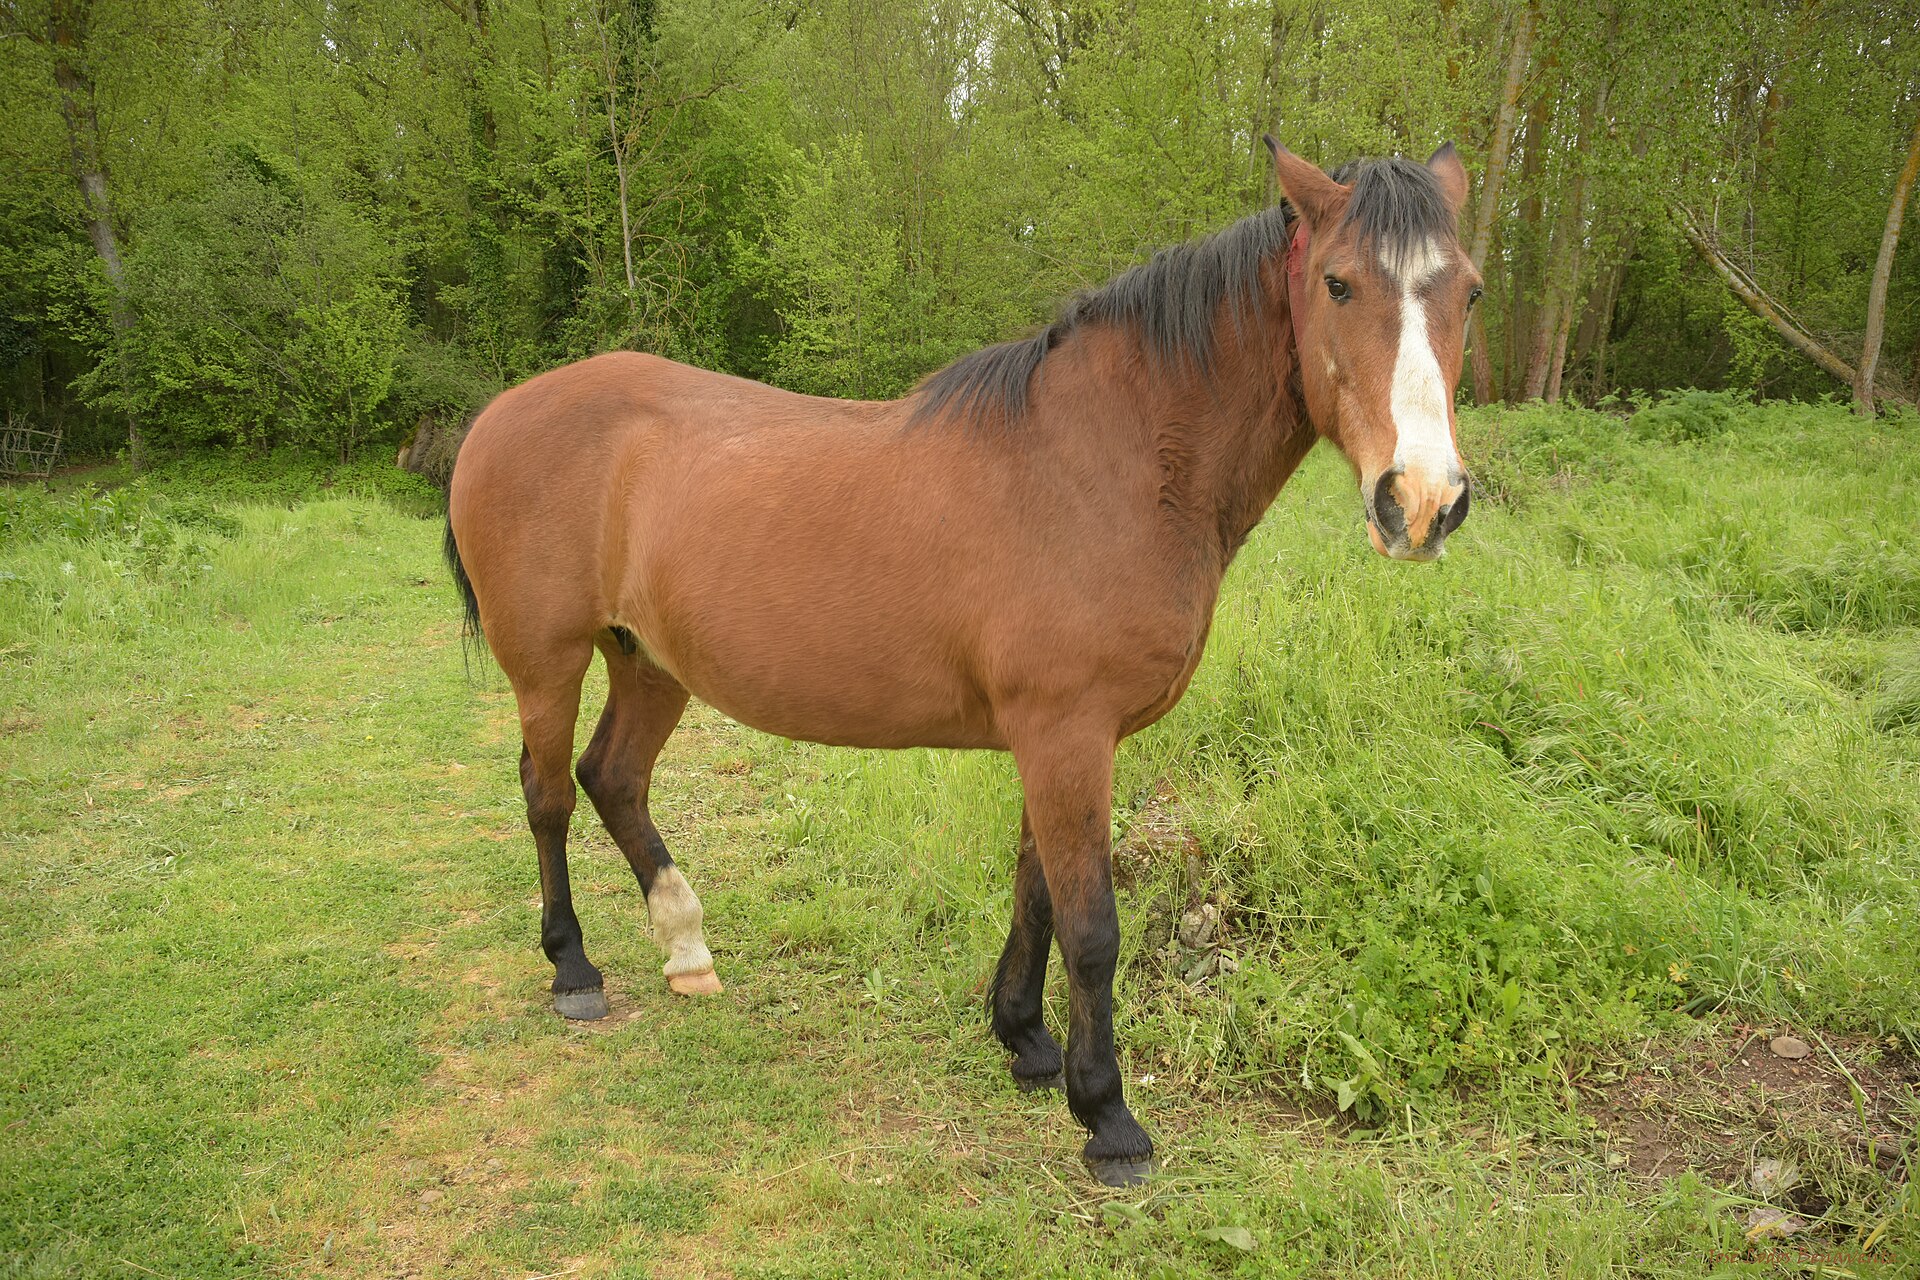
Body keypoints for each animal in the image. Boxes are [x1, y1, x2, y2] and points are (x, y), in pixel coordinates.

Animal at [443, 138, 1478, 1186]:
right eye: (1338, 283)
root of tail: (497, 415)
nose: (1422, 502)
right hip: (549, 664)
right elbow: (1092, 927)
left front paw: (1024, 1040)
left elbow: (1037, 892)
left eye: (1469, 291)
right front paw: (1107, 1114)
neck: (1109, 461)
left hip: (650, 661)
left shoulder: (1061, 739)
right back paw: (574, 969)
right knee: (548, 795)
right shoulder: (1066, 732)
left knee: (612, 778)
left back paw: (685, 946)